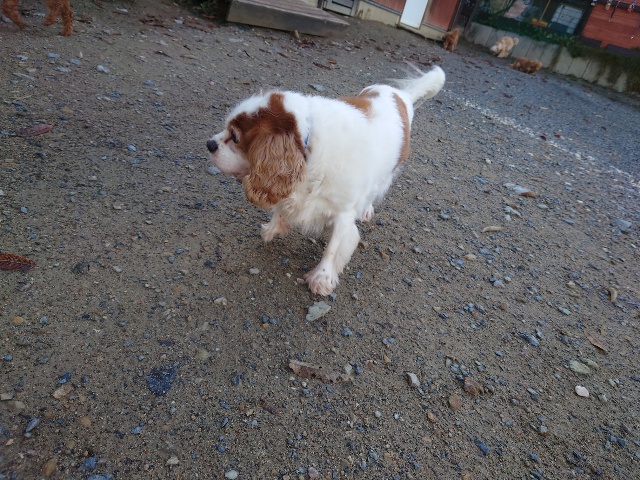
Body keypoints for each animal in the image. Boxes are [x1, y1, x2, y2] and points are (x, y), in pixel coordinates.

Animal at [206, 67, 446, 295]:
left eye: (235, 137)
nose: (209, 144)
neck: (308, 142)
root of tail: (400, 95)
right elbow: (282, 207)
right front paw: (274, 228)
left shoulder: (344, 212)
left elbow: (333, 247)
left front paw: (322, 278)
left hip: (386, 174)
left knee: (374, 192)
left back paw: (366, 210)